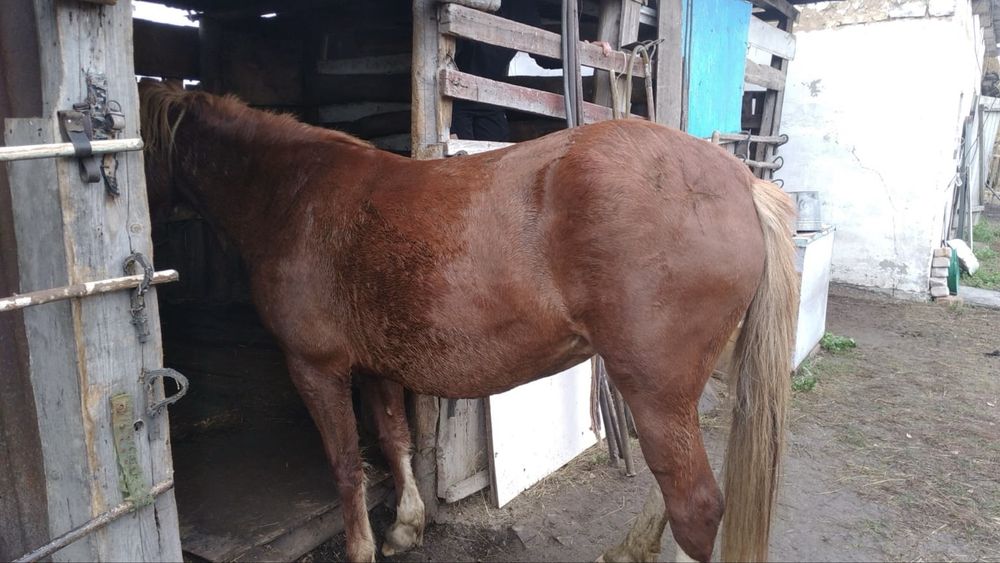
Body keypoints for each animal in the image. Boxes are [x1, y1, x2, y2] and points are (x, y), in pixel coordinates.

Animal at [139, 80, 797, 563]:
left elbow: (347, 465)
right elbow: (394, 440)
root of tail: (741, 183)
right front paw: (405, 528)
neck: (293, 196)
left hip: (654, 388)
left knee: (696, 505)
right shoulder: (375, 364)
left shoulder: (315, 368)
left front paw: (362, 549)